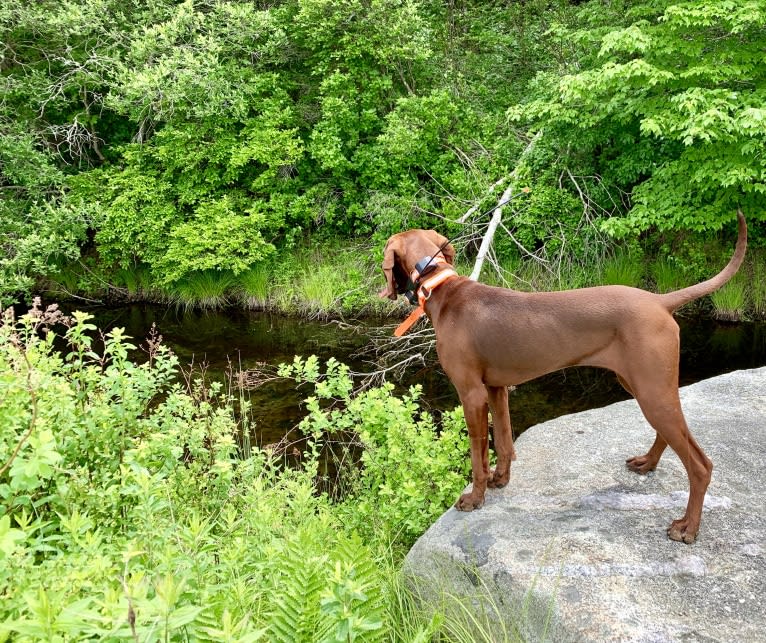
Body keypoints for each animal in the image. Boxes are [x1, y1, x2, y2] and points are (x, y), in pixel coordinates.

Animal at [382, 211, 752, 544]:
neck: (442, 289)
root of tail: (660, 301)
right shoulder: (497, 388)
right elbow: (504, 441)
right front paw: (501, 480)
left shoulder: (471, 393)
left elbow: (478, 454)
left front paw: (475, 498)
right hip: (644, 384)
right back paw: (648, 463)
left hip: (651, 389)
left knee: (700, 465)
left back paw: (687, 528)